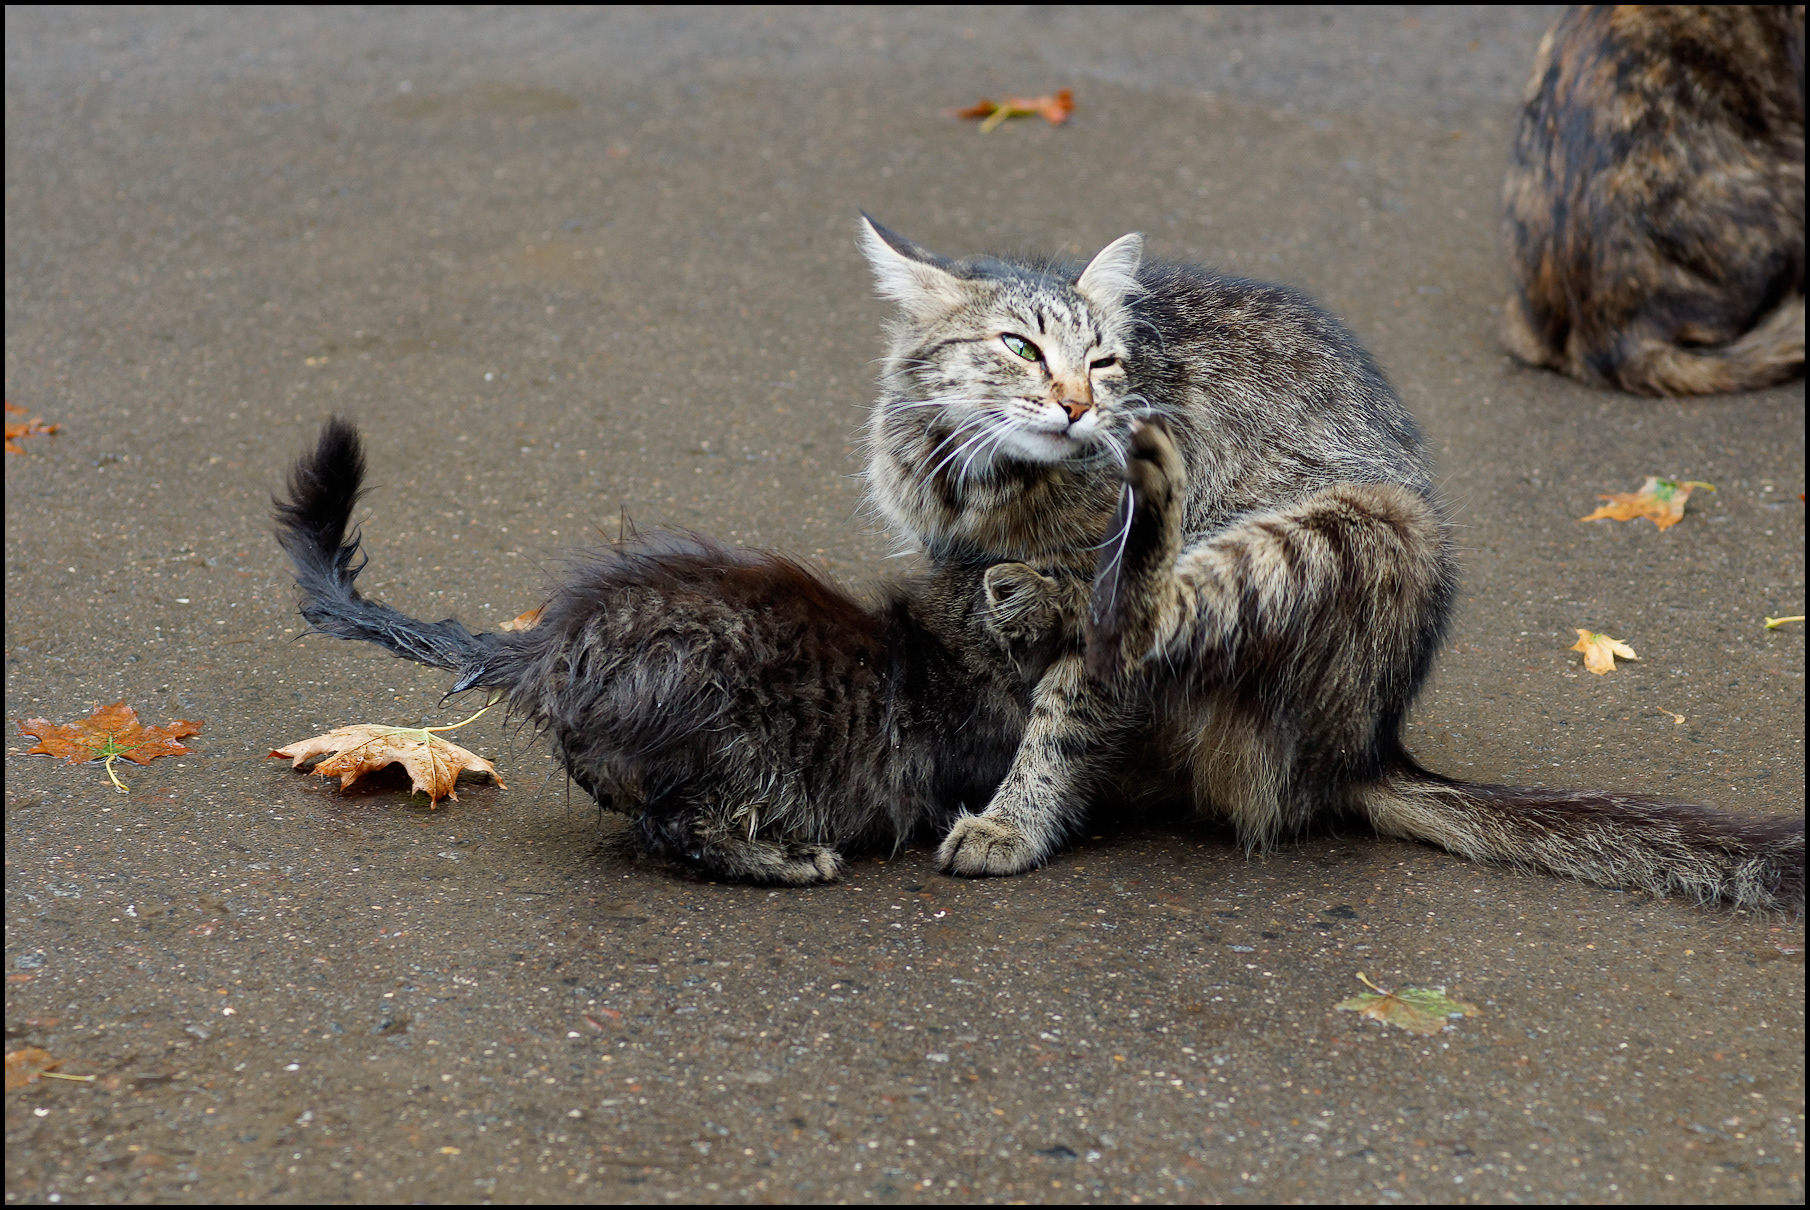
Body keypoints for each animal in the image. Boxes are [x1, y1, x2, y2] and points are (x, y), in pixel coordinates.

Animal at [858, 216, 1804, 911]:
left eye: (1102, 362)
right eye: (1020, 348)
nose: (1077, 405)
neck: (992, 488)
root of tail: (1369, 750)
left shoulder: (1102, 604)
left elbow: (1064, 713)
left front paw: (1014, 820)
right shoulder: (949, 549)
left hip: (1357, 526)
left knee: (1147, 610)